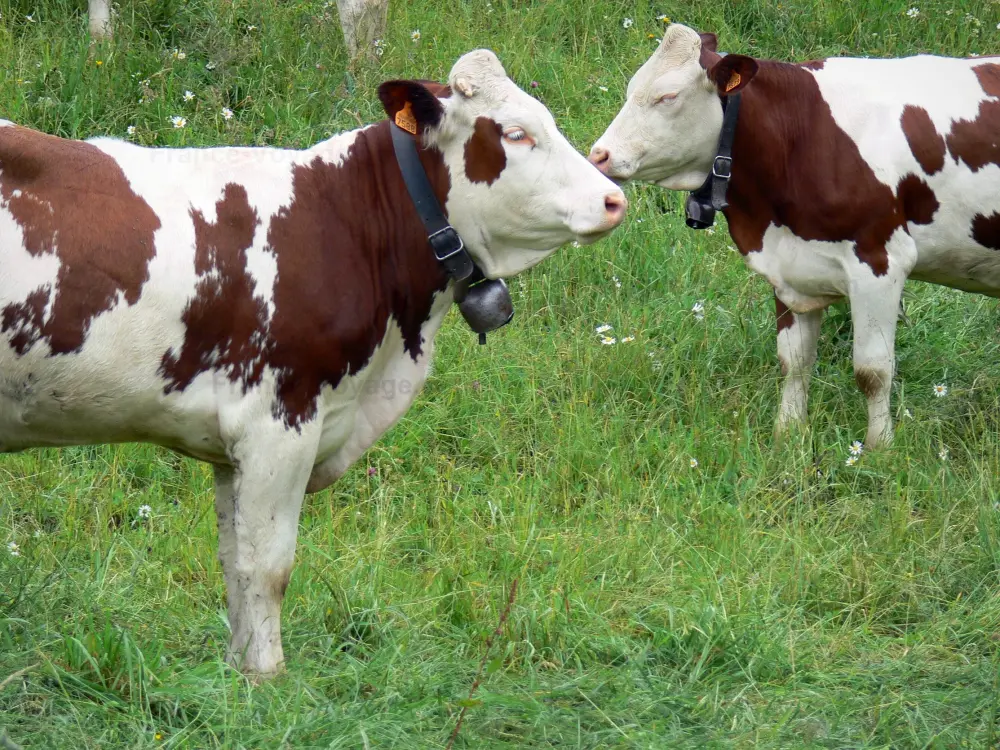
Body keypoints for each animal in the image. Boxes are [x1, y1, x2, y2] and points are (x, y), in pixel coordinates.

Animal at [0, 50, 624, 680]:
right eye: (517, 134)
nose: (612, 198)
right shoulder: (280, 417)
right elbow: (268, 565)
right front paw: (268, 678)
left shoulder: (233, 443)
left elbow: (234, 561)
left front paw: (237, 672)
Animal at [584, 22, 1000, 446]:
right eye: (631, 88)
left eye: (667, 96)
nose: (599, 155)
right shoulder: (791, 266)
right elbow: (794, 361)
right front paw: (788, 433)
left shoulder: (881, 261)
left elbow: (873, 370)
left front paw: (879, 447)